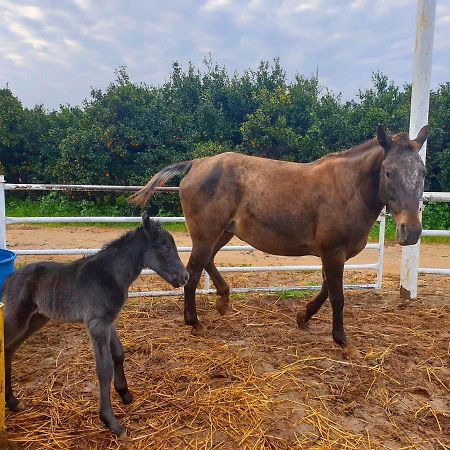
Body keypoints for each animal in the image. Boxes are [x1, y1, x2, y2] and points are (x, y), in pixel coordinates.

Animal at [130, 126, 428, 358]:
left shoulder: (330, 254)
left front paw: (303, 317)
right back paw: (194, 323)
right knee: (193, 272)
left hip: (223, 233)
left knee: (208, 262)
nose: (411, 231)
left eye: (423, 172)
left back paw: (223, 301)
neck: (349, 188)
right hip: (206, 234)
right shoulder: (333, 252)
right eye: (388, 172)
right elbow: (337, 296)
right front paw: (343, 342)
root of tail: (196, 164)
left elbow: (324, 290)